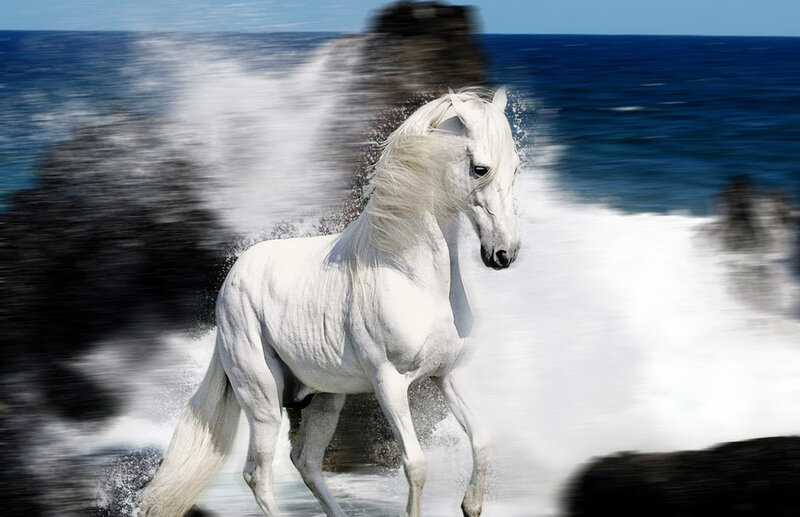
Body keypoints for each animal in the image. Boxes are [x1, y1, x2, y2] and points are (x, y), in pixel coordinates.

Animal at [140, 87, 521, 517]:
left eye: (515, 168)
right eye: (480, 168)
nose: (504, 254)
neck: (409, 275)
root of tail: (232, 281)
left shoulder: (444, 374)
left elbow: (482, 441)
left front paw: (470, 505)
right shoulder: (389, 384)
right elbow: (416, 466)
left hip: (324, 398)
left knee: (305, 461)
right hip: (263, 401)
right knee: (258, 474)